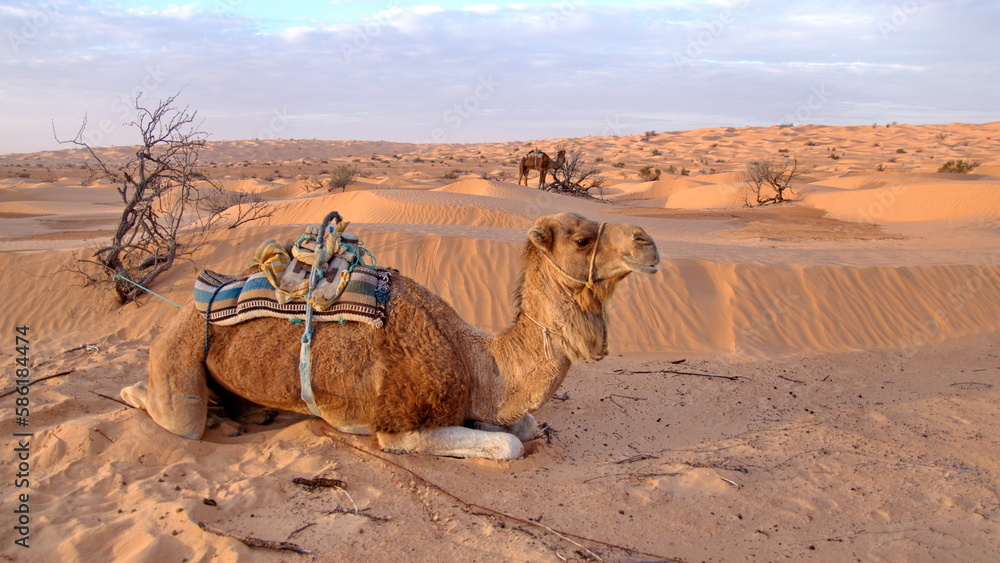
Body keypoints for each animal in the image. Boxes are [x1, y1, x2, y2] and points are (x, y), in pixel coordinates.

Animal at [121, 213, 659, 460]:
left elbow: (525, 427)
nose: (648, 243)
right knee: (169, 412)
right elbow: (509, 444)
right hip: (177, 359)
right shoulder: (399, 425)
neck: (477, 362)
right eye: (582, 239)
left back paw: (247, 416)